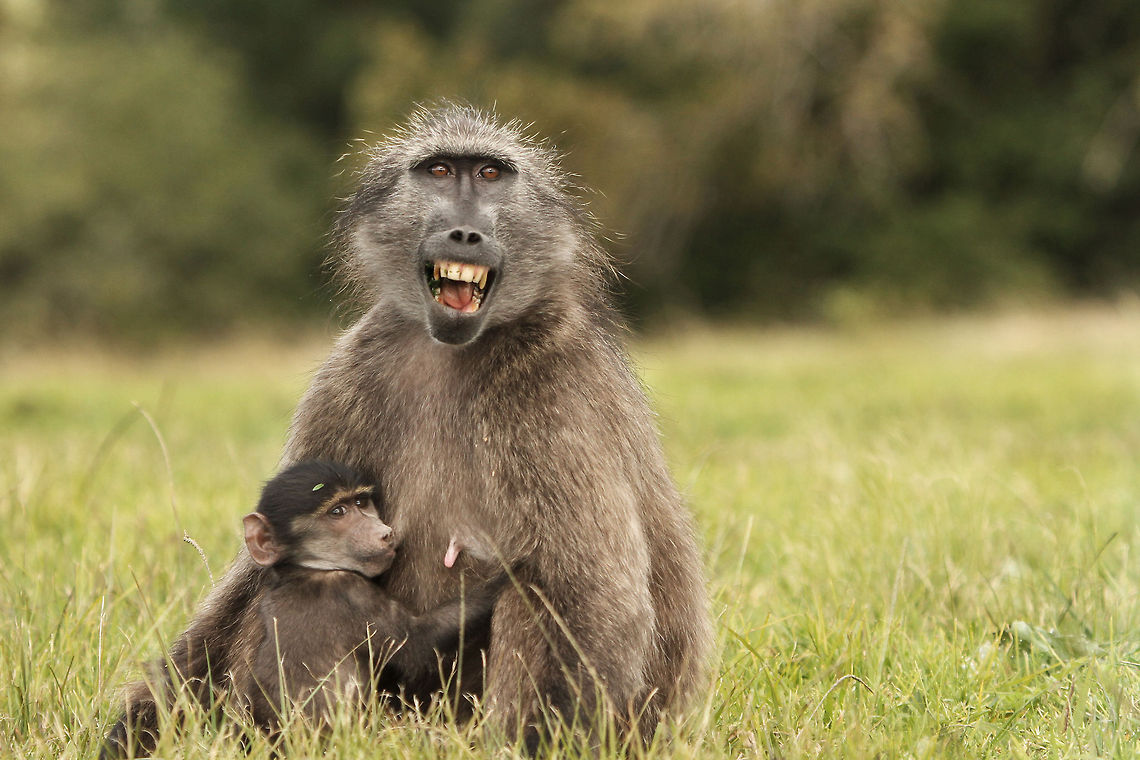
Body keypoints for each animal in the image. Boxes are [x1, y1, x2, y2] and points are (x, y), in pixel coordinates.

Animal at [101, 460, 507, 758]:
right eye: (338, 511)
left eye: (362, 503)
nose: (384, 533)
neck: (305, 571)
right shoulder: (350, 592)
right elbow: (417, 646)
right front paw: (509, 573)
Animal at [135, 103, 713, 752]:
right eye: (439, 172)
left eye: (489, 175)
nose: (464, 232)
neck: (456, 351)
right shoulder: (352, 370)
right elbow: (260, 564)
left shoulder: (557, 389)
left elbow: (592, 592)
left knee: (534, 598)